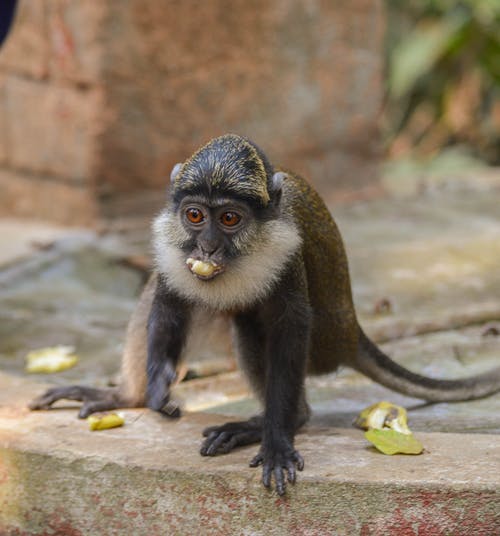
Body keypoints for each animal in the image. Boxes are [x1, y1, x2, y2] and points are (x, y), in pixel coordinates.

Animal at [30, 133, 500, 494]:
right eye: (195, 215)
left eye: (230, 219)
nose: (207, 248)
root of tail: (350, 333)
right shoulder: (172, 247)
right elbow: (166, 301)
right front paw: (157, 385)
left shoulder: (287, 251)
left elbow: (289, 327)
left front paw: (275, 440)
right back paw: (128, 396)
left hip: (320, 346)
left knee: (251, 327)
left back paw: (279, 421)